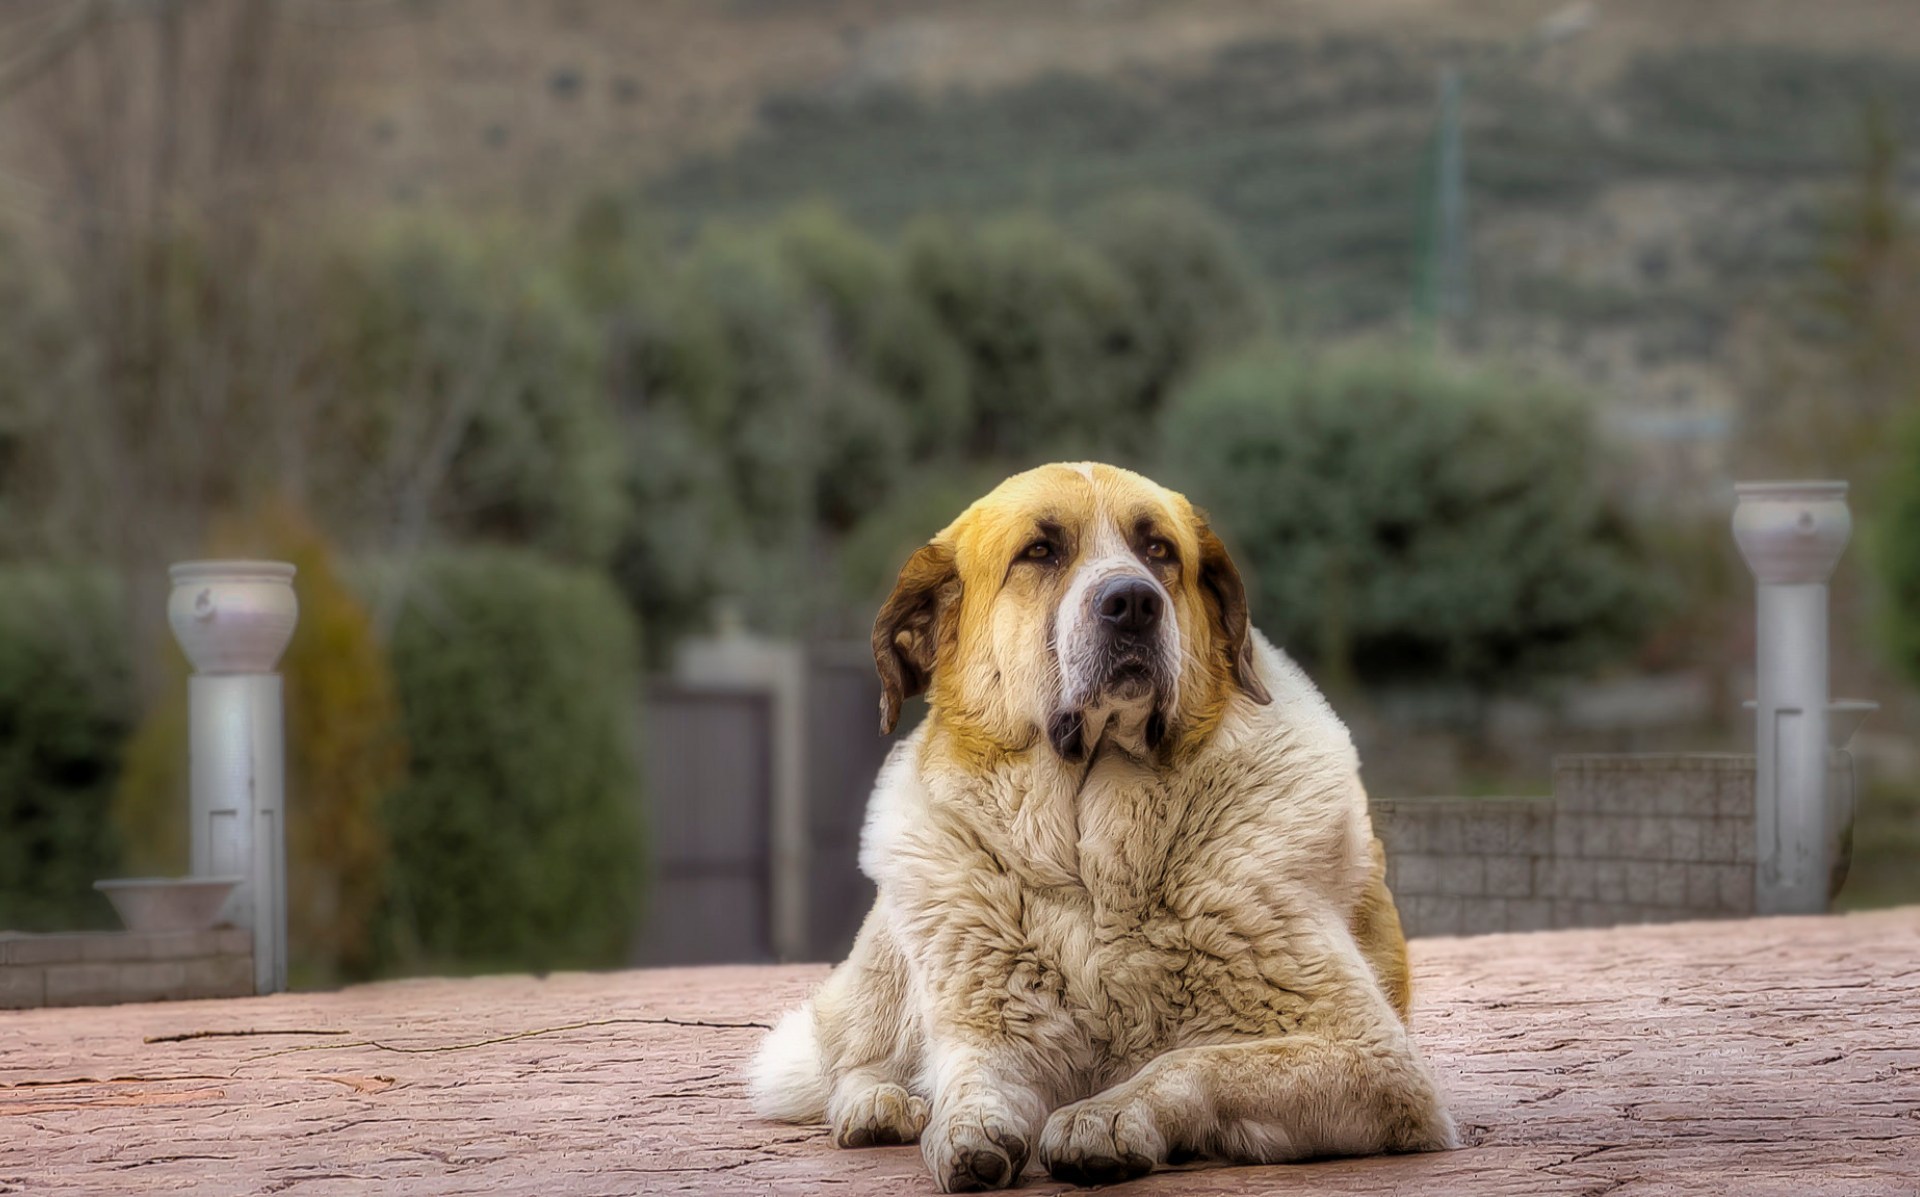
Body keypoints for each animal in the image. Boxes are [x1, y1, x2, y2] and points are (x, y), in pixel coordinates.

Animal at [748, 461, 1451, 1191]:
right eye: (1040, 551)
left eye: (1159, 550)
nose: (1134, 601)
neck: (1094, 872)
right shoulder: (990, 1026)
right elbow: (972, 1074)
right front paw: (964, 1125)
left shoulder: (1371, 1055)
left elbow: (1196, 1060)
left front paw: (1107, 1116)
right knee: (852, 1056)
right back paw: (882, 1103)